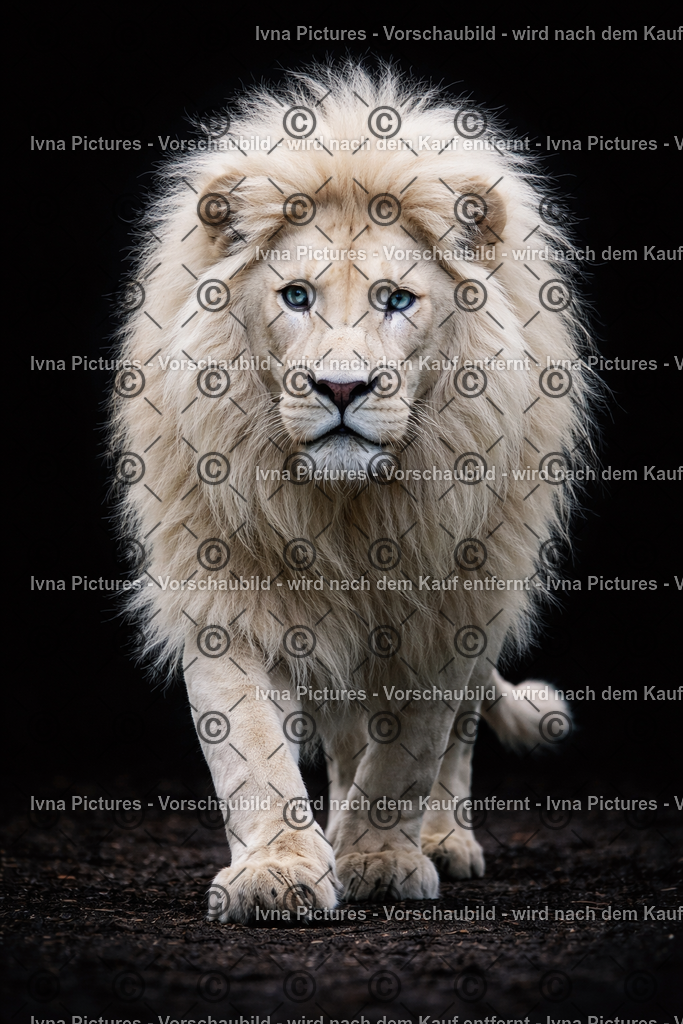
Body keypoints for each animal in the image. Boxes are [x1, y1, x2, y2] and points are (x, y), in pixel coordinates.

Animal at [111, 61, 597, 923]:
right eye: (296, 297)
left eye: (396, 300)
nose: (342, 388)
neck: (346, 510)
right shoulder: (221, 592)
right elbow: (249, 748)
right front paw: (279, 870)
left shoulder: (449, 604)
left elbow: (410, 748)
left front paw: (379, 858)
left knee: (454, 737)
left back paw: (440, 839)